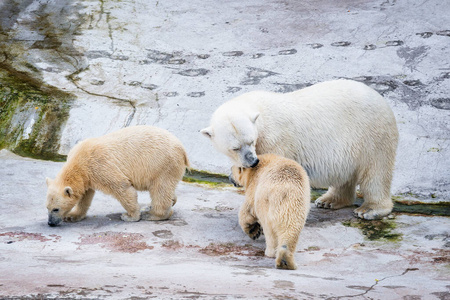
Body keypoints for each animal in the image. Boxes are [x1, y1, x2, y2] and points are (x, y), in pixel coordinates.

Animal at [202, 79, 400, 220]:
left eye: (251, 141)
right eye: (234, 148)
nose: (253, 161)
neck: (260, 111)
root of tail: (381, 98)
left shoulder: (275, 140)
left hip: (372, 134)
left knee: (376, 173)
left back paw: (369, 210)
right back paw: (329, 200)